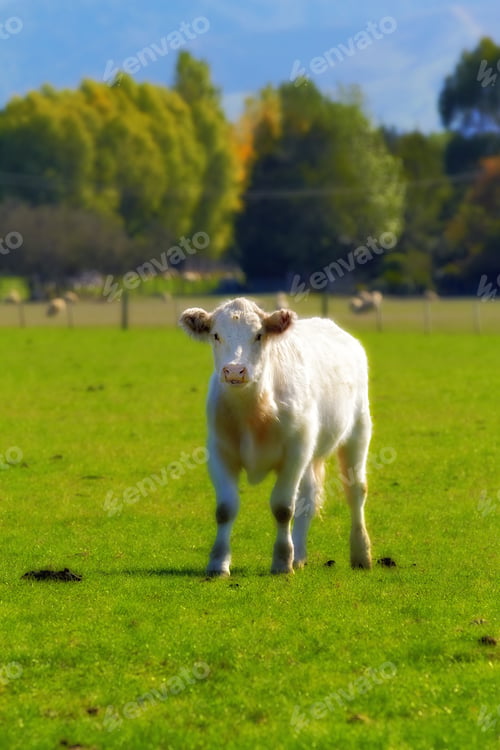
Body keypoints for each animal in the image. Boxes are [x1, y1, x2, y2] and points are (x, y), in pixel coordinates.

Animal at [180, 297, 372, 576]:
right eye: (216, 335)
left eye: (259, 335)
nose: (234, 371)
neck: (254, 412)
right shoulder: (220, 452)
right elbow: (225, 509)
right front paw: (218, 562)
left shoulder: (295, 452)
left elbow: (283, 508)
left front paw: (281, 562)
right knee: (308, 497)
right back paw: (300, 555)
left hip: (358, 431)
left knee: (355, 490)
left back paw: (361, 553)